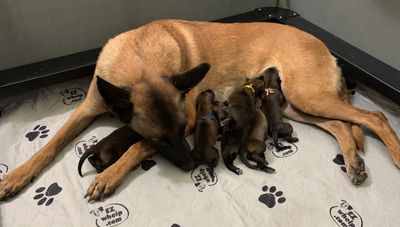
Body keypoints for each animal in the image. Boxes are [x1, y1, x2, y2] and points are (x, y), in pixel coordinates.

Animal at [0, 19, 400, 200]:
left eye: (180, 131)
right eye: (164, 137)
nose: (193, 163)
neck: (139, 62)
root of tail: (323, 45)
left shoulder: (193, 118)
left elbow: (136, 145)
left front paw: (109, 174)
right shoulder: (86, 109)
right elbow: (52, 144)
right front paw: (16, 176)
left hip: (305, 96)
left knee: (375, 117)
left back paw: (392, 155)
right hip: (294, 104)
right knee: (342, 125)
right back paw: (354, 162)